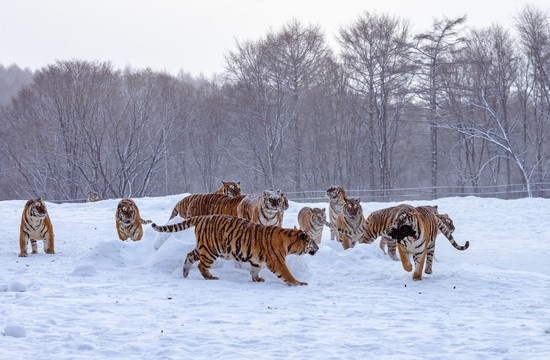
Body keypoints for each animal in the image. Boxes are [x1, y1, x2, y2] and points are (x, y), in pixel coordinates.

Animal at [151, 214, 320, 286]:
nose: (318, 247)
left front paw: (257, 279)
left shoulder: (257, 261)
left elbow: (254, 270)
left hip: (203, 247)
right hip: (211, 251)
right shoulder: (277, 261)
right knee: (201, 266)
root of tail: (202, 216)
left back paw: (185, 273)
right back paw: (210, 277)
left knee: (189, 256)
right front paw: (298, 283)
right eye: (312, 242)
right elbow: (287, 274)